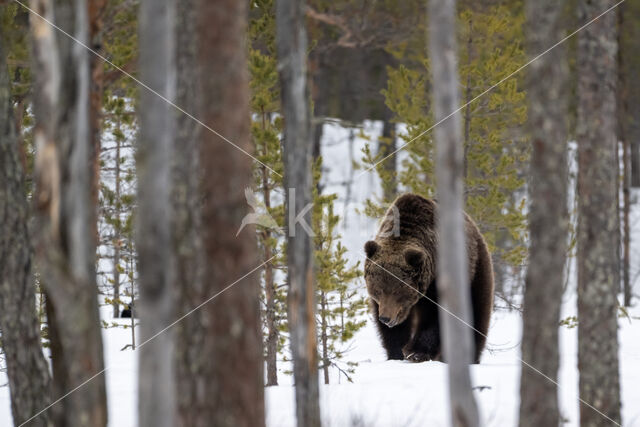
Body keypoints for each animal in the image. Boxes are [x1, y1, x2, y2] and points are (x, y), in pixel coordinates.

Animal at [362, 194, 492, 364]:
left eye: (397, 292)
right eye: (377, 290)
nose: (385, 318)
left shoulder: (438, 281)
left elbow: (437, 317)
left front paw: (416, 352)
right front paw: (396, 353)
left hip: (476, 269)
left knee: (477, 313)